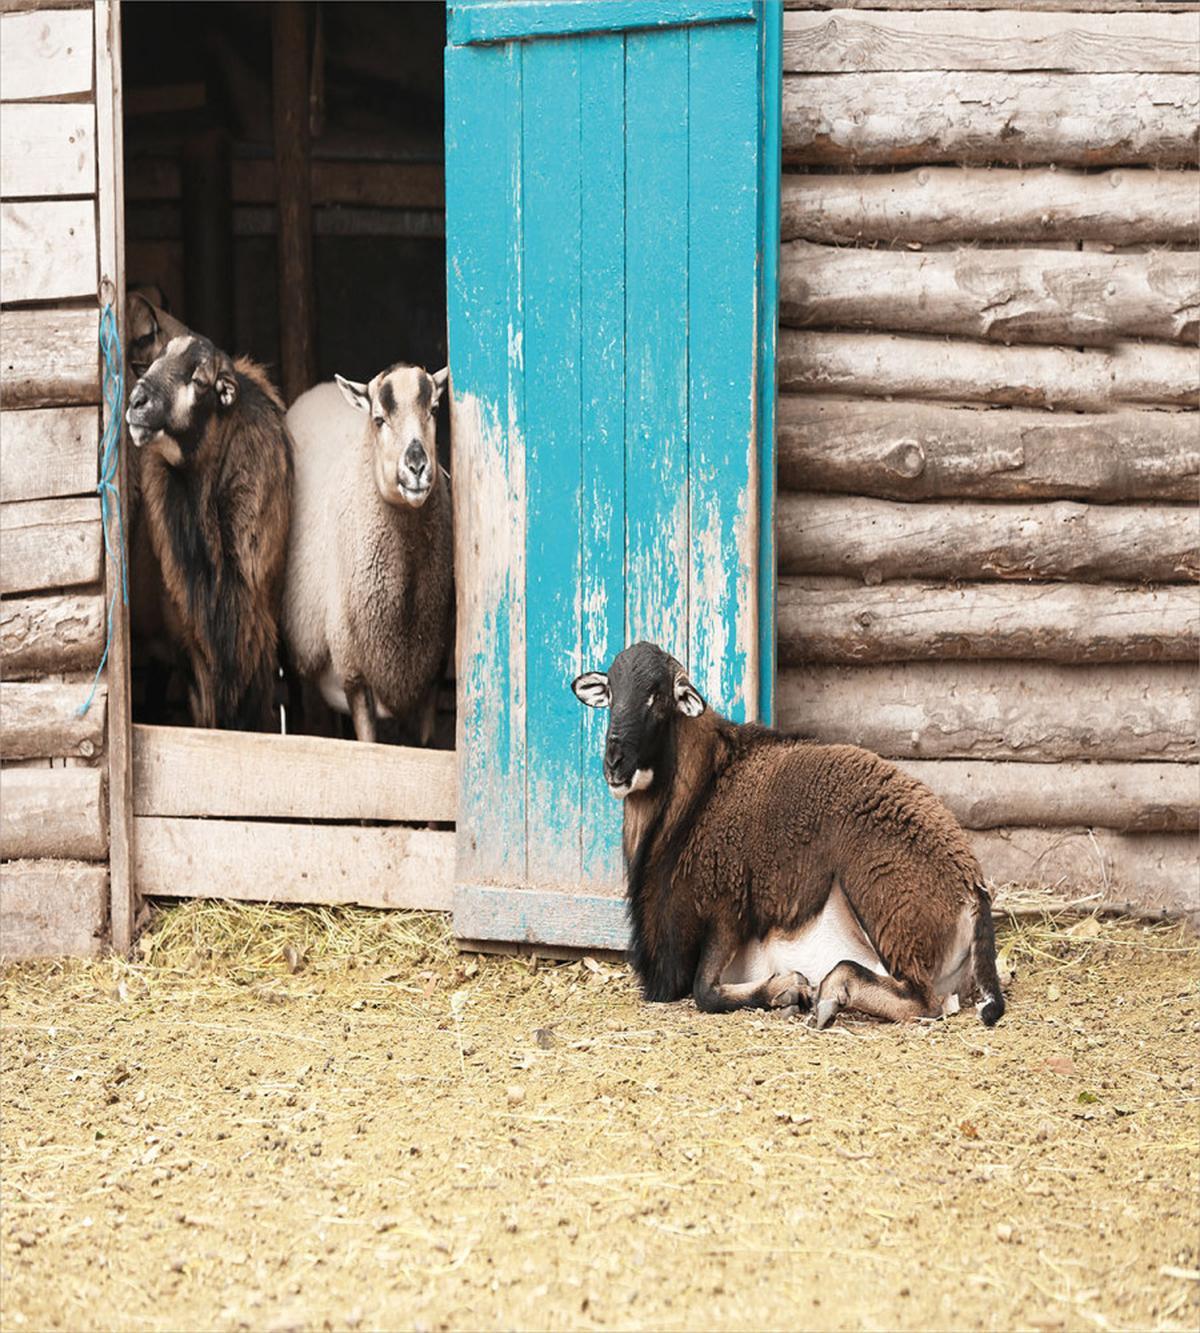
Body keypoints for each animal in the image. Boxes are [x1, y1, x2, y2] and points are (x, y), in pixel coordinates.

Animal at [281, 363, 453, 744]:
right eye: (379, 419)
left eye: (434, 410)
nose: (416, 467)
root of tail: (317, 391)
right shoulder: (354, 674)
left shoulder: (430, 673)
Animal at [571, 641, 1006, 1029]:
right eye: (611, 694)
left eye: (657, 697)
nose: (615, 763)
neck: (698, 794)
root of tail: (970, 886)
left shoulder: (727, 912)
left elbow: (704, 991)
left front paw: (789, 989)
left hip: (879, 900)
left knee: (923, 1000)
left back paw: (832, 994)